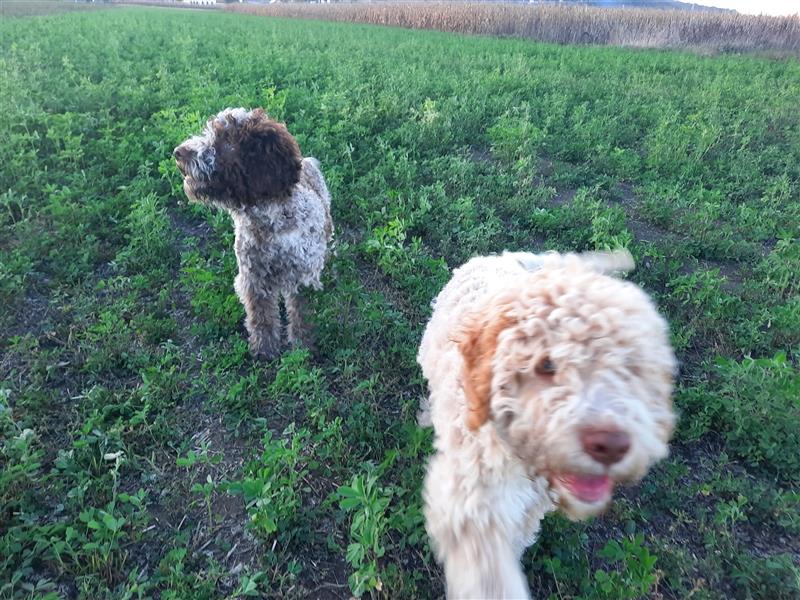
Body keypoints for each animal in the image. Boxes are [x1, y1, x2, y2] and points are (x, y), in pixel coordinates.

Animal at [176, 108, 334, 358]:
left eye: (226, 140)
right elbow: (261, 318)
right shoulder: (253, 279)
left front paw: (302, 347)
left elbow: (302, 315)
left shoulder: (302, 278)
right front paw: (264, 349)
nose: (178, 153)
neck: (269, 225)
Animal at [416, 250, 680, 600]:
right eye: (546, 365)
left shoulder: (528, 508)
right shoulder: (469, 505)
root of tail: (509, 257)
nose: (611, 444)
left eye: (631, 367)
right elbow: (490, 576)